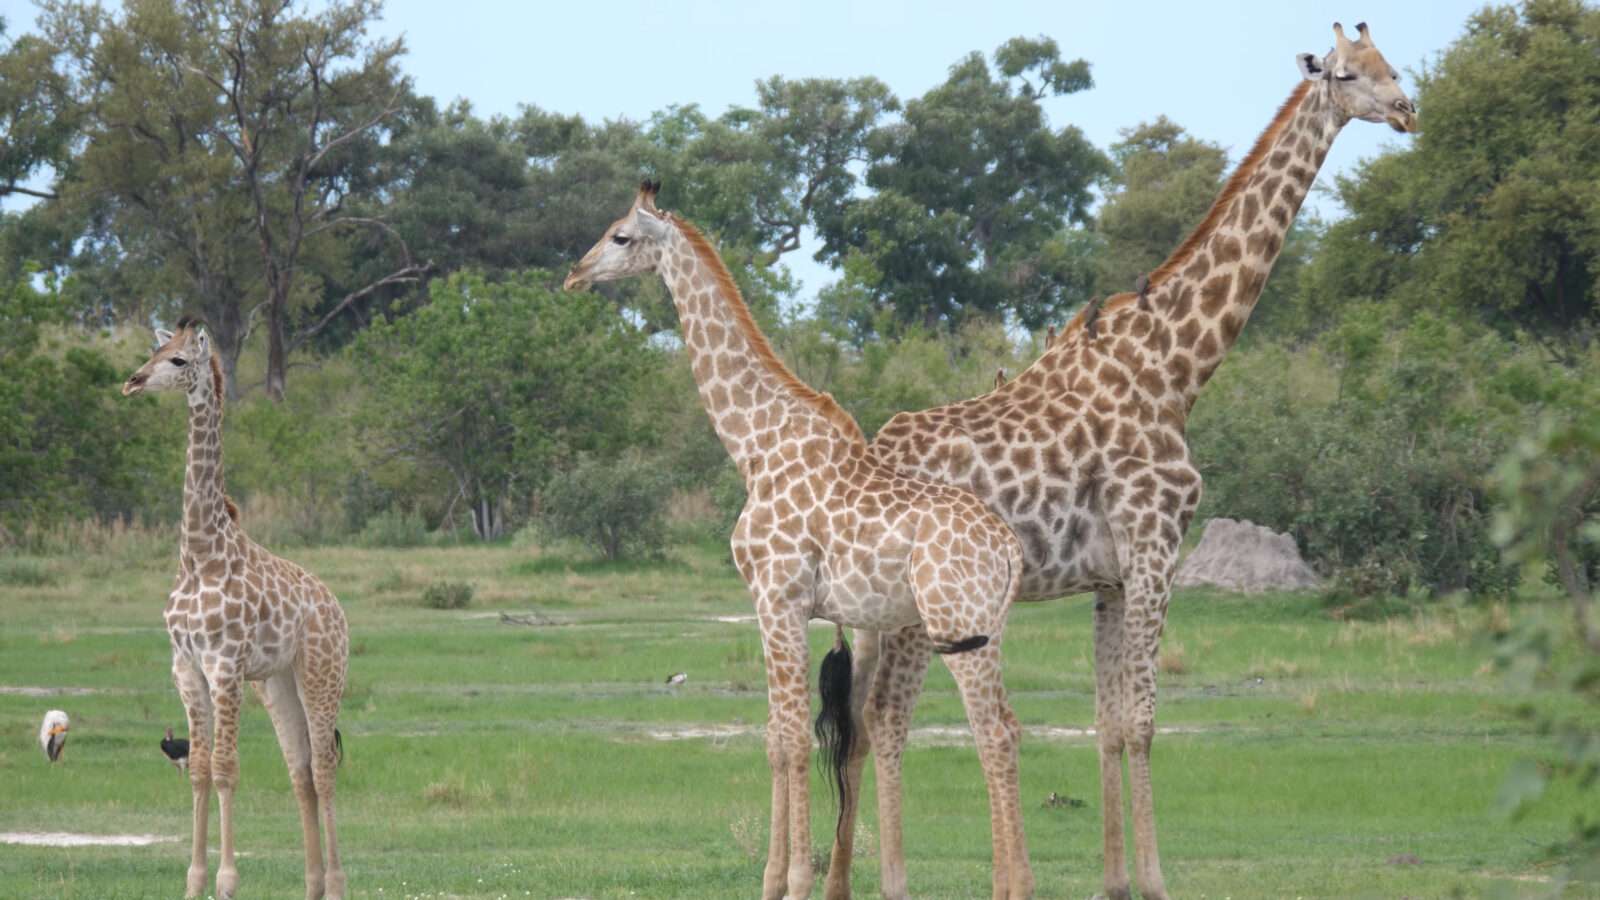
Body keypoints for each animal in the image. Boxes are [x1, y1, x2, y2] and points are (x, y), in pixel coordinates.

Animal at [122, 317, 350, 896]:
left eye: (179, 360)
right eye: (155, 348)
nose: (133, 381)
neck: (199, 553)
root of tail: (336, 607)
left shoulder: (224, 665)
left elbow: (226, 767)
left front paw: (226, 881)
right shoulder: (186, 666)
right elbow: (201, 768)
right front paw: (194, 880)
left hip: (321, 675)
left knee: (324, 769)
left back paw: (337, 883)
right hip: (276, 683)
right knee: (300, 772)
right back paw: (312, 885)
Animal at [566, 184, 1036, 896]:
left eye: (620, 236)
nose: (576, 273)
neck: (755, 447)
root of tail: (1008, 547)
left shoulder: (778, 599)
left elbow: (788, 742)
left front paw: (791, 880)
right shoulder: (776, 606)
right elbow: (771, 738)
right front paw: (770, 880)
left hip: (960, 628)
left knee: (994, 734)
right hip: (987, 628)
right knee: (1002, 728)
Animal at [838, 22, 1414, 896]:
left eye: (1395, 67)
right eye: (1348, 75)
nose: (1409, 112)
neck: (1177, 368)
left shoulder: (1109, 575)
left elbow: (1106, 722)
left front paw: (1113, 880)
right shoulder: (1155, 547)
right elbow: (1142, 720)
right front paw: (1154, 880)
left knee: (861, 719)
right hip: (919, 611)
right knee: (888, 715)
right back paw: (893, 881)